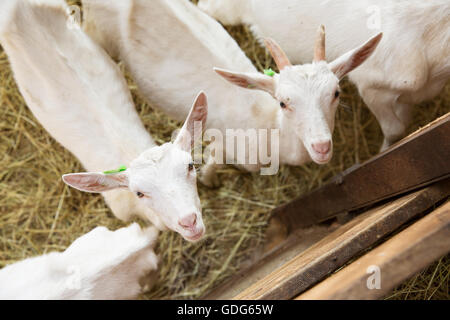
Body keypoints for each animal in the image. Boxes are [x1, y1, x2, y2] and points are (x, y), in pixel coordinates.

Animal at [82, 0, 382, 188]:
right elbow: (213, 159)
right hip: (96, 29)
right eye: (283, 102)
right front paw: (209, 180)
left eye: (336, 93)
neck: (270, 128)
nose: (321, 146)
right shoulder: (228, 145)